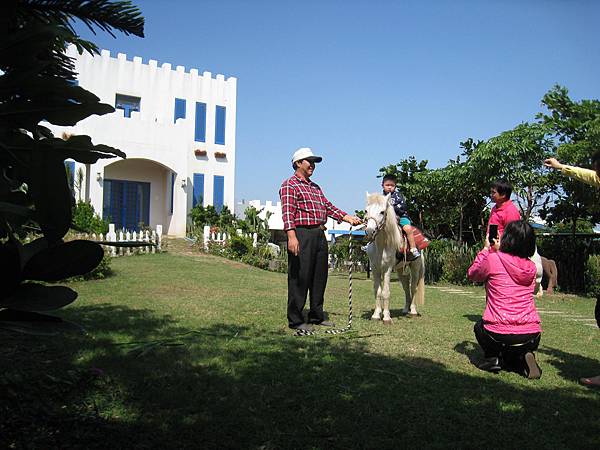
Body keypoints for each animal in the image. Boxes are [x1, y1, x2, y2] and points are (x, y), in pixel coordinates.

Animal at [364, 193, 424, 324]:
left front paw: (386, 317)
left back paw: (413, 311)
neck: (382, 246)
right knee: (406, 287)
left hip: (415, 268)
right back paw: (406, 309)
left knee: (413, 287)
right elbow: (377, 291)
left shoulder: (387, 268)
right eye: (366, 210)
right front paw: (376, 315)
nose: (370, 231)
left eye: (382, 212)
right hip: (401, 270)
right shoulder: (375, 268)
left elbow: (385, 292)